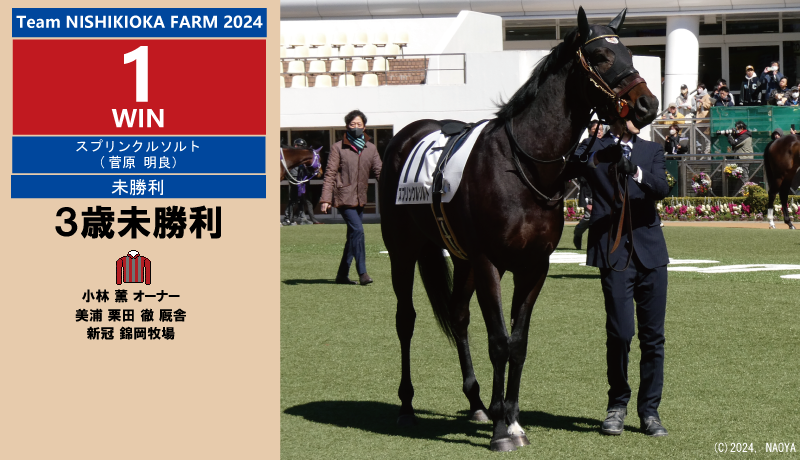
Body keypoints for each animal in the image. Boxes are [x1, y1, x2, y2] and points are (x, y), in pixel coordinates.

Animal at [379, 7, 659, 452]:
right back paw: (407, 405)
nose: (647, 104)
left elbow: (517, 342)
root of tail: (406, 135)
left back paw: (477, 402)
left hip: (461, 258)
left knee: (458, 317)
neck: (523, 164)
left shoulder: (533, 266)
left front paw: (509, 418)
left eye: (631, 53)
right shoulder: (490, 262)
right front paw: (500, 431)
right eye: (600, 56)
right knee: (405, 319)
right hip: (404, 249)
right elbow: (498, 342)